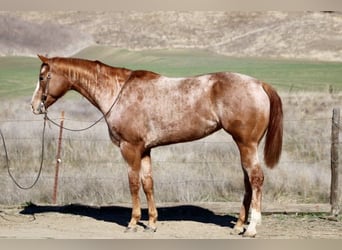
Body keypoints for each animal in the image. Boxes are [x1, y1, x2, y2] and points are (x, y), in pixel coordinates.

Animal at [31, 54, 284, 236]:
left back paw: (251, 228)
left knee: (256, 179)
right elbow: (148, 183)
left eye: (43, 78)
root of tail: (259, 84)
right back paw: (239, 225)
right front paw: (152, 222)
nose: (34, 106)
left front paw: (133, 223)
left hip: (247, 144)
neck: (118, 92)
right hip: (245, 145)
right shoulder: (145, 150)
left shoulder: (130, 148)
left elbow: (133, 184)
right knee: (248, 181)